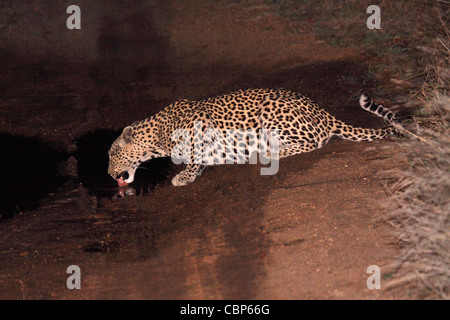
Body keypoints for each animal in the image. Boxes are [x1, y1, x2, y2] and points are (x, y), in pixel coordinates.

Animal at [107, 87, 400, 188]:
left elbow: (193, 153)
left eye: (111, 155)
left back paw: (268, 151)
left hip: (271, 108)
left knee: (314, 142)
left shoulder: (199, 122)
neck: (156, 135)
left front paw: (184, 176)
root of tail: (321, 110)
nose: (109, 175)